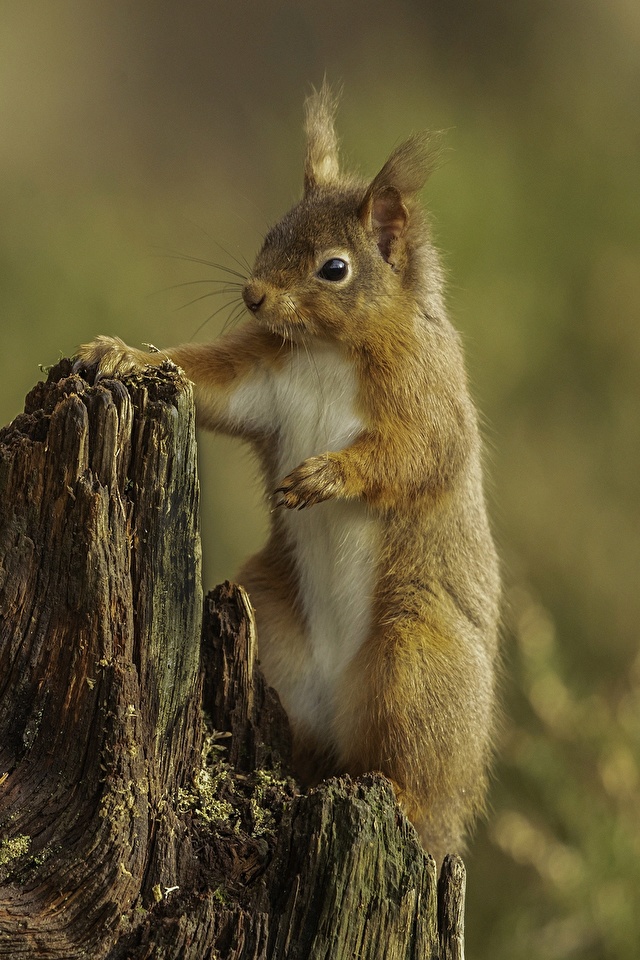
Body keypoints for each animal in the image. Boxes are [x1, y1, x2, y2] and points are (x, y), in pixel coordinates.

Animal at [75, 82, 500, 864]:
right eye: (272, 232)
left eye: (335, 268)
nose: (252, 296)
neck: (329, 348)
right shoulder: (261, 379)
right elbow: (204, 379)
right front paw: (123, 354)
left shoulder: (429, 400)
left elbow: (415, 456)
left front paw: (325, 476)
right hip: (270, 627)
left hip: (417, 666)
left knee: (413, 776)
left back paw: (405, 799)